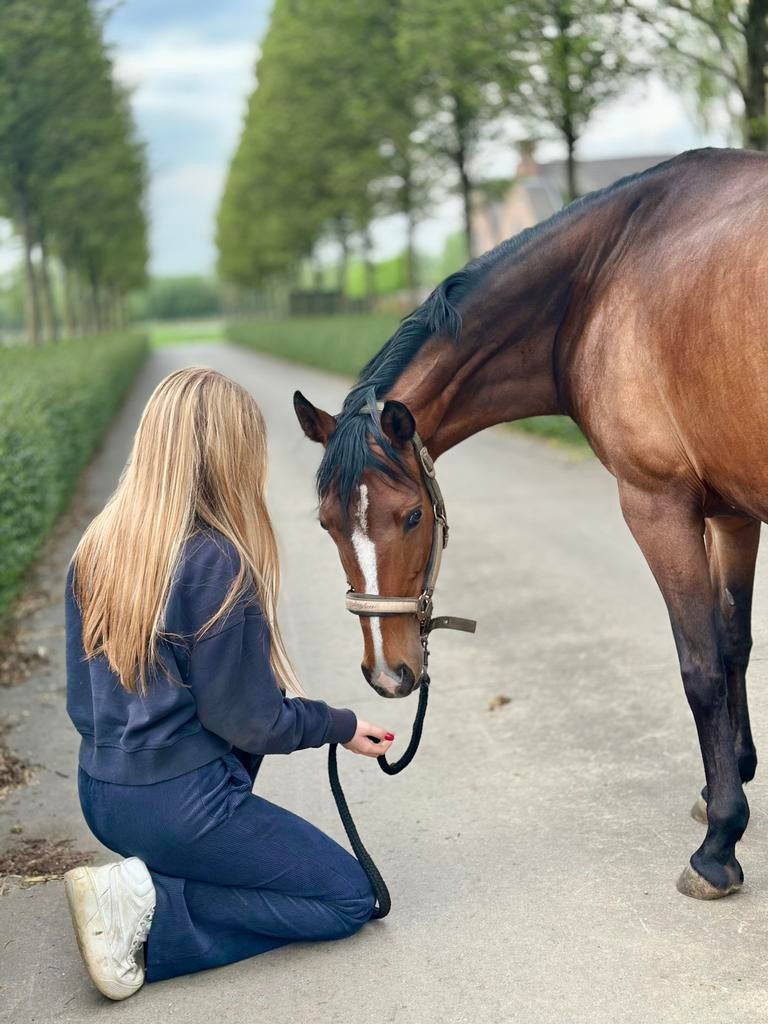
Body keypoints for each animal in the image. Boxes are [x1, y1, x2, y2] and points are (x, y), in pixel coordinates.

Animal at [293, 147, 768, 902]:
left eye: (411, 516)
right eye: (326, 525)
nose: (388, 676)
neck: (604, 277)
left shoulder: (658, 505)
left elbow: (699, 668)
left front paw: (719, 844)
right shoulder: (731, 511)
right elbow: (733, 647)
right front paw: (727, 785)